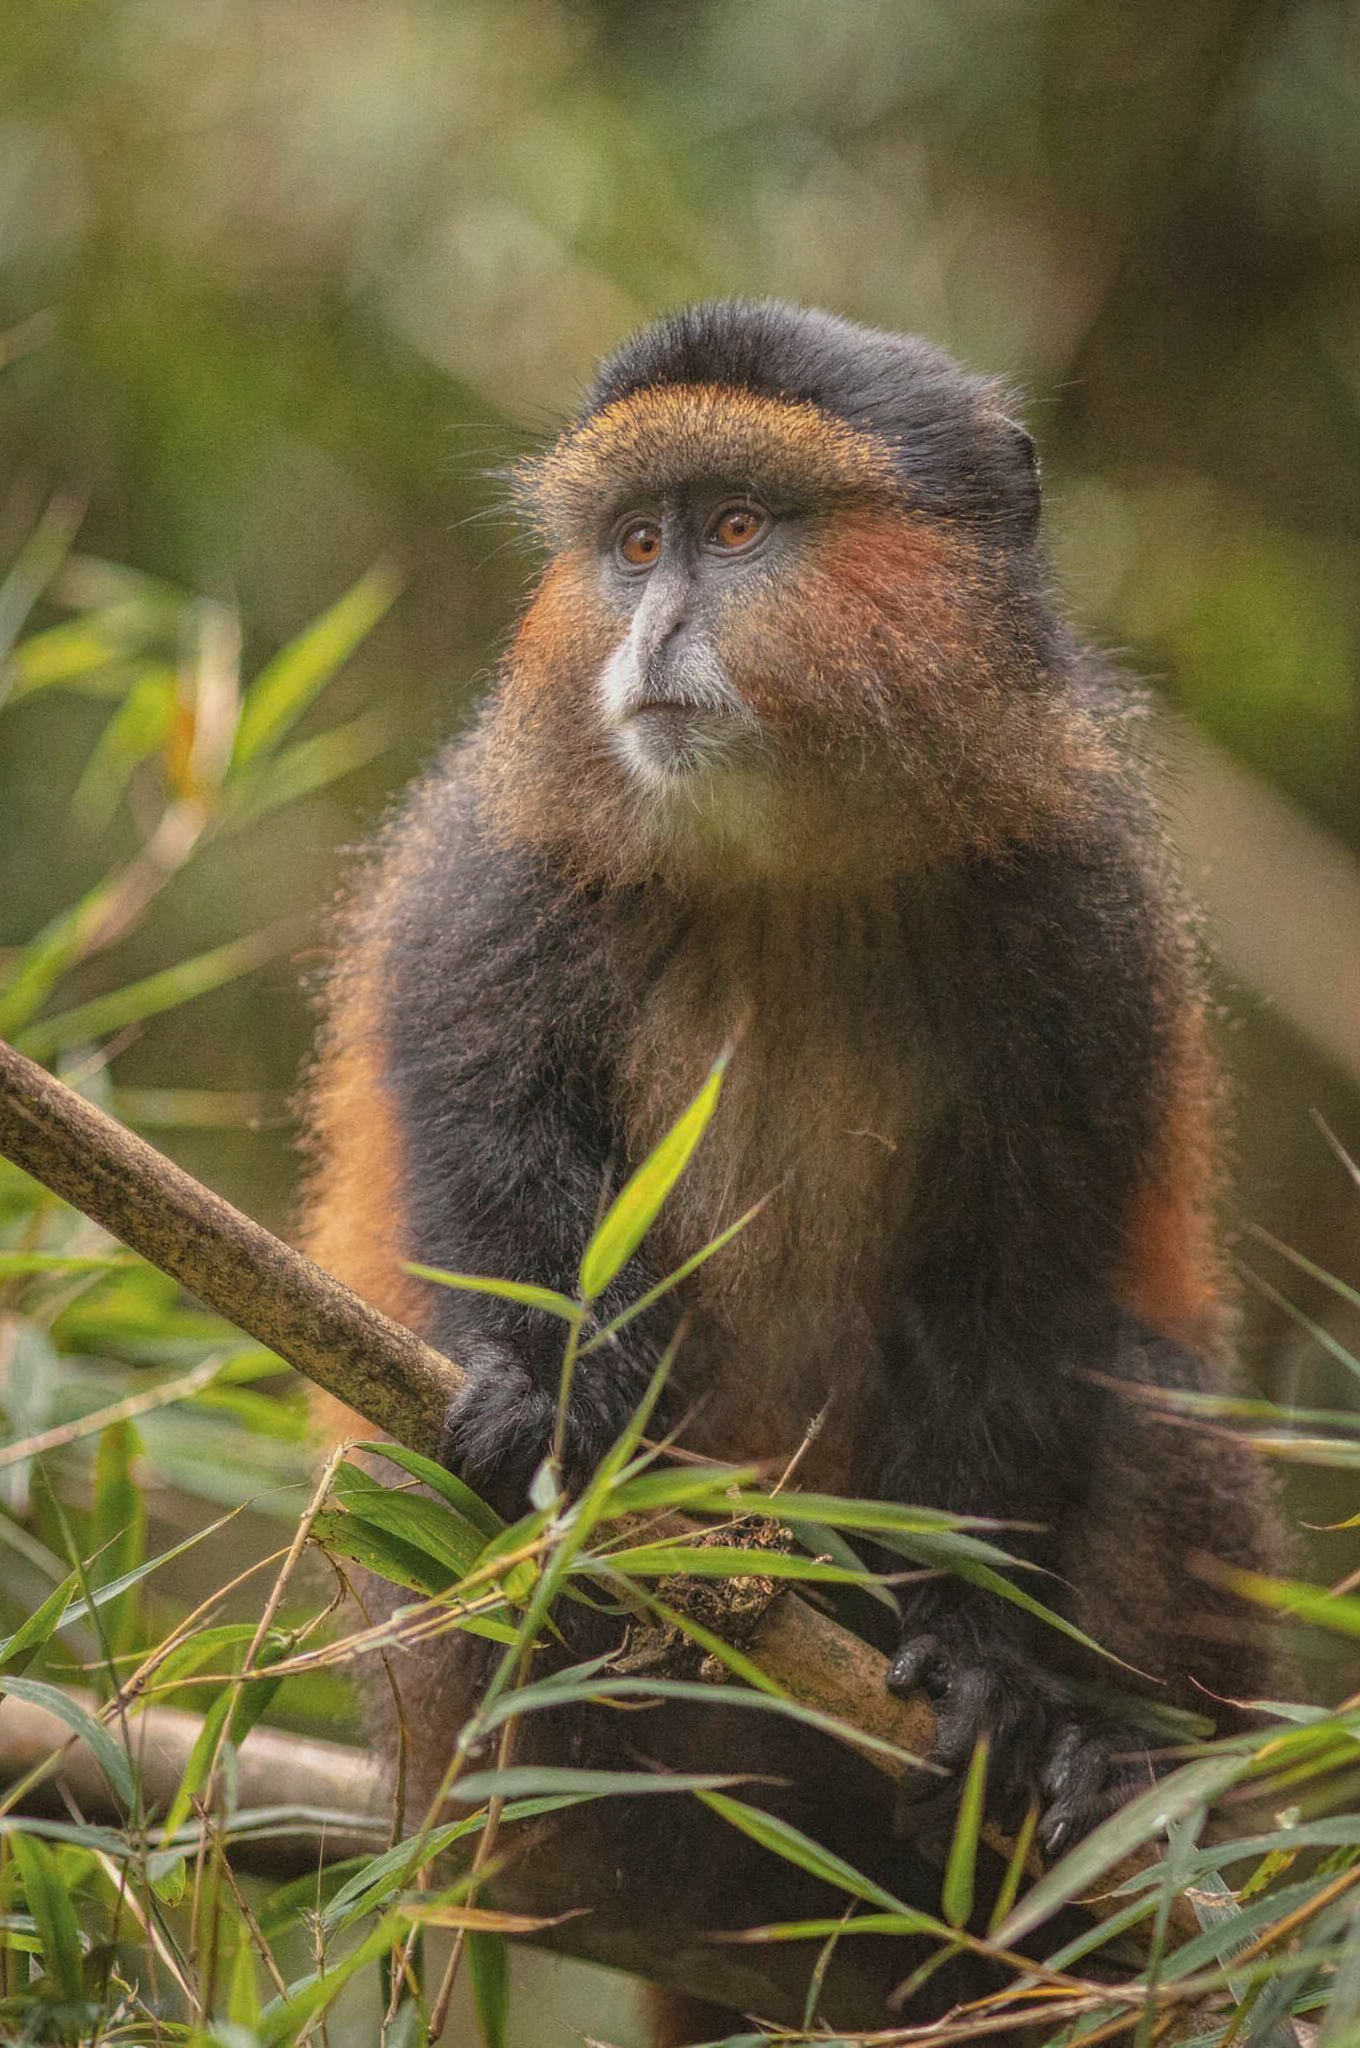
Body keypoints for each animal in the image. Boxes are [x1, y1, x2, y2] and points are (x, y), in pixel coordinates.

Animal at [301, 299, 1285, 2041]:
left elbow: (1022, 1287)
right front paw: (555, 1412)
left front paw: (984, 1662)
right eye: (636, 544)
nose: (646, 630)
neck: (787, 868)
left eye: (740, 530)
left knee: (1147, 1396)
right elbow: (483, 1141)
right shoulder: (498, 868)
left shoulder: (1081, 919)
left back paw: (1093, 1790)